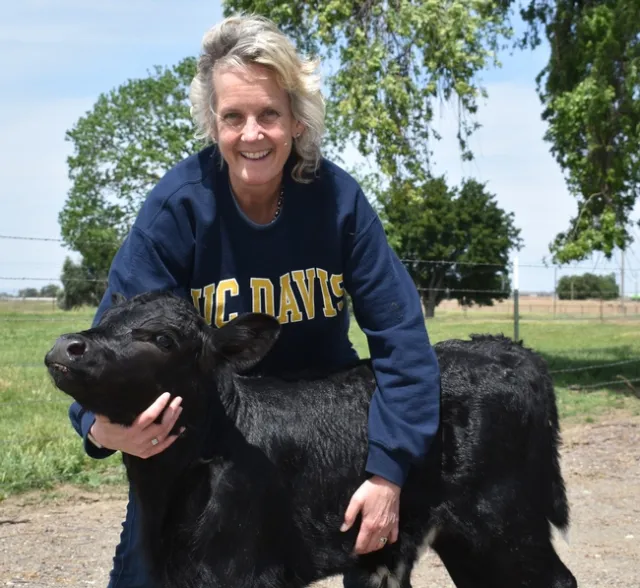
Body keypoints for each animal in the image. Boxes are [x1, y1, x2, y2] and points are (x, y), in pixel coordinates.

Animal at [44, 291, 577, 588]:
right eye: (105, 320)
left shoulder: (243, 570)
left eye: (161, 338)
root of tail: (506, 348)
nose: (65, 345)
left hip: (503, 521)